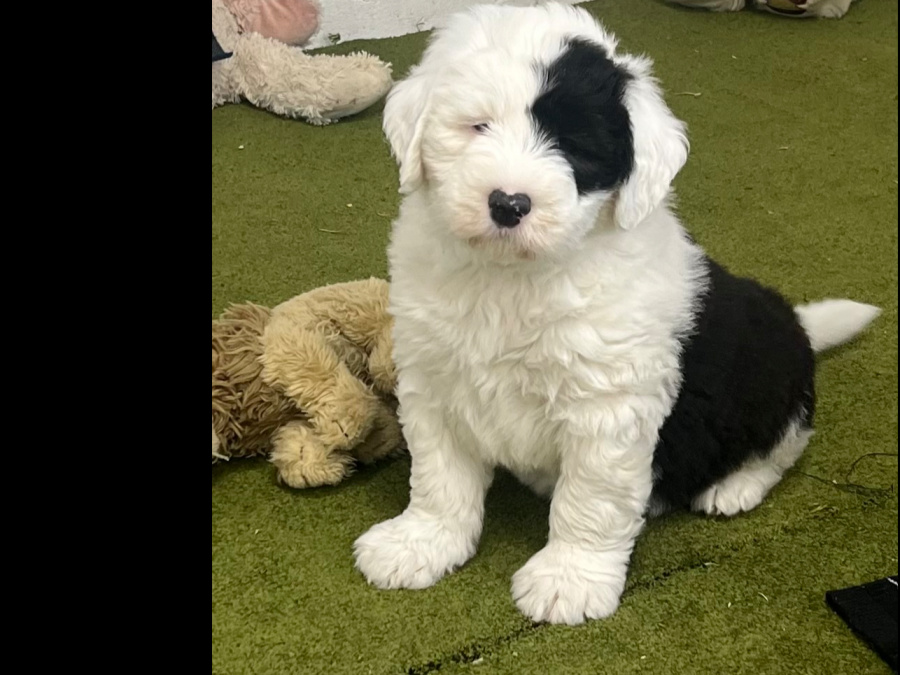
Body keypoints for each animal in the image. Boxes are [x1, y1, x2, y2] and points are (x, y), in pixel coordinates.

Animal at [354, 3, 880, 628]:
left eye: (574, 146)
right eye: (477, 126)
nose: (508, 203)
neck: (512, 280)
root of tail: (796, 324)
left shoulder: (606, 407)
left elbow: (589, 499)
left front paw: (569, 579)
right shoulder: (435, 381)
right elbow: (440, 476)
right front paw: (420, 542)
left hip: (767, 375)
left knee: (787, 443)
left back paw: (734, 487)